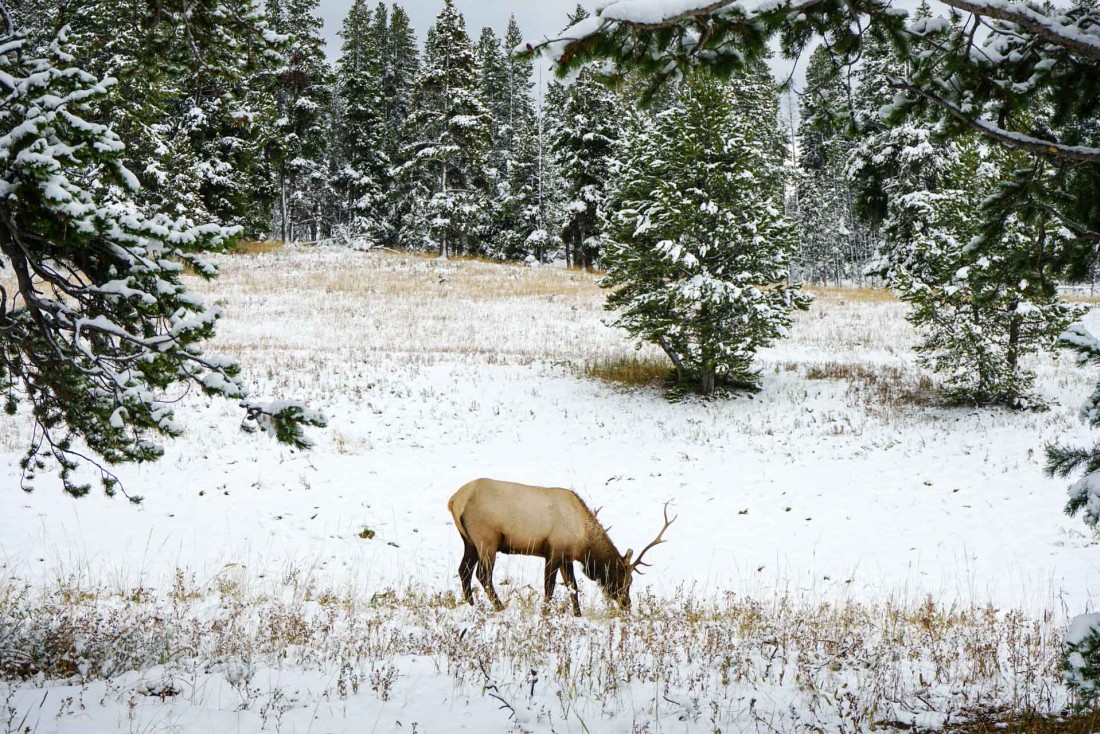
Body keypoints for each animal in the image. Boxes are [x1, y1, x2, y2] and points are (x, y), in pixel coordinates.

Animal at [444, 477, 668, 616]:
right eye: (625, 580)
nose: (627, 605)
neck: (584, 542)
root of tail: (454, 500)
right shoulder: (554, 551)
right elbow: (549, 588)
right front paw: (545, 613)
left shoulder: (566, 557)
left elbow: (573, 587)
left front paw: (578, 615)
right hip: (486, 539)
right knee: (483, 575)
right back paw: (500, 608)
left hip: (469, 541)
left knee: (464, 570)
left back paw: (472, 605)